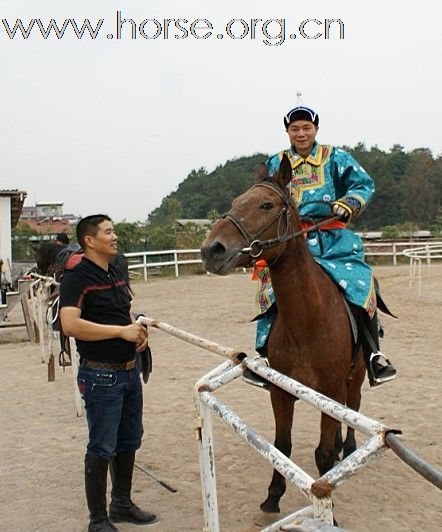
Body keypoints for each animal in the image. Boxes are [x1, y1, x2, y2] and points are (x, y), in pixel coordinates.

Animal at [201, 154, 366, 516]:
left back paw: (348, 447)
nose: (212, 250)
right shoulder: (281, 391)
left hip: (356, 375)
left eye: (266, 205)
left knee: (354, 406)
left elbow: (322, 455)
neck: (308, 323)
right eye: (235, 203)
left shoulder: (331, 389)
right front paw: (273, 495)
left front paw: (330, 512)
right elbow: (281, 446)